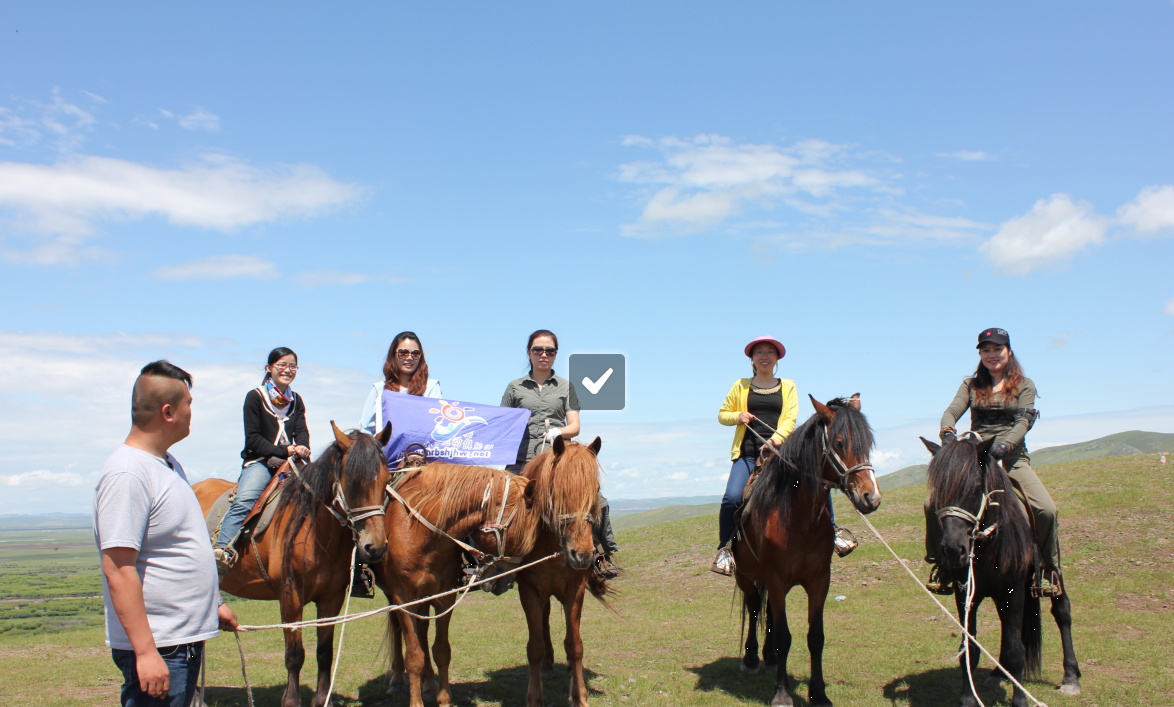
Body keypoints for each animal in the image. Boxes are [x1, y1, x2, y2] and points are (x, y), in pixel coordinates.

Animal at [194, 420, 392, 704]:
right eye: (353, 482)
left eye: (387, 479)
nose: (375, 547)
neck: (315, 532)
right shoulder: (290, 597)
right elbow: (295, 654)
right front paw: (291, 700)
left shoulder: (331, 599)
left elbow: (324, 652)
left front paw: (322, 699)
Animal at [375, 460, 540, 704]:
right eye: (518, 538)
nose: (507, 583)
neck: (419, 531)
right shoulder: (402, 598)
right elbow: (413, 655)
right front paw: (416, 701)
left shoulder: (444, 595)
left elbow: (442, 651)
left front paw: (444, 698)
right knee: (398, 629)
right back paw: (396, 680)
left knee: (422, 631)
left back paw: (429, 683)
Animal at [516, 432, 610, 704]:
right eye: (557, 490)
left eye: (596, 490)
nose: (583, 555)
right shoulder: (528, 591)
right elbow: (534, 647)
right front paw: (534, 697)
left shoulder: (574, 589)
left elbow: (575, 645)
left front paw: (580, 696)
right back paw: (547, 666)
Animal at [732, 396, 882, 704]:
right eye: (839, 443)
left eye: (868, 442)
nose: (871, 498)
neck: (799, 518)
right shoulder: (776, 579)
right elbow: (784, 637)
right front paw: (782, 693)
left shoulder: (819, 580)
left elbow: (816, 637)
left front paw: (819, 694)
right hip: (745, 576)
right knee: (753, 607)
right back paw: (751, 658)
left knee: (768, 612)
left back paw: (769, 658)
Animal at [925, 434, 1080, 704]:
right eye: (939, 491)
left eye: (976, 486)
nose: (954, 550)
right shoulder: (965, 592)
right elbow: (970, 648)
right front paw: (968, 700)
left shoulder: (1014, 590)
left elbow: (1015, 649)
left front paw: (1020, 701)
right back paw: (999, 673)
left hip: (1052, 570)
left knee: (1062, 612)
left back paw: (1070, 676)